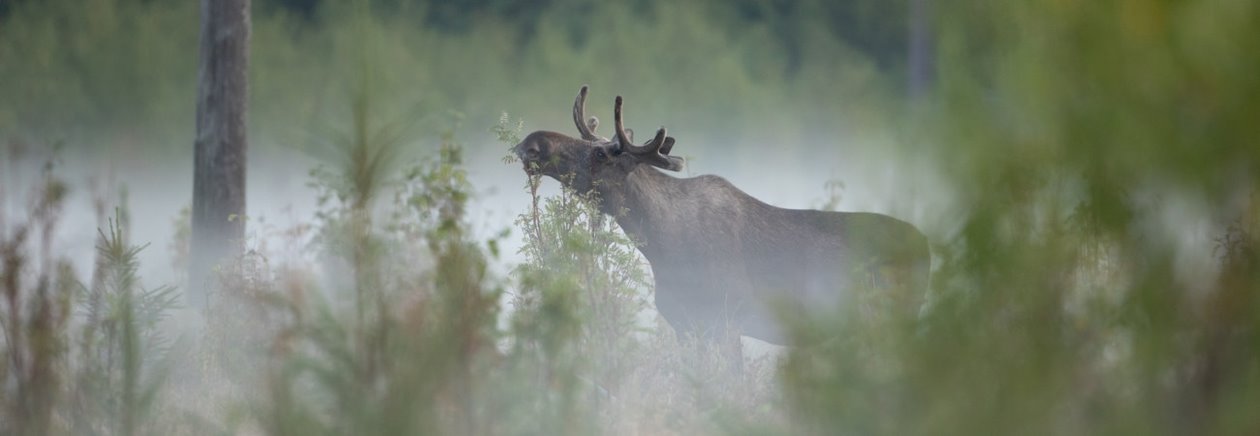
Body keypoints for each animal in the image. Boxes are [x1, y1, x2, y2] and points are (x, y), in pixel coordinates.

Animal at [509, 86, 927, 345]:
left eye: (598, 153)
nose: (530, 143)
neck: (661, 243)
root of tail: (927, 248)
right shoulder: (685, 325)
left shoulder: (727, 321)